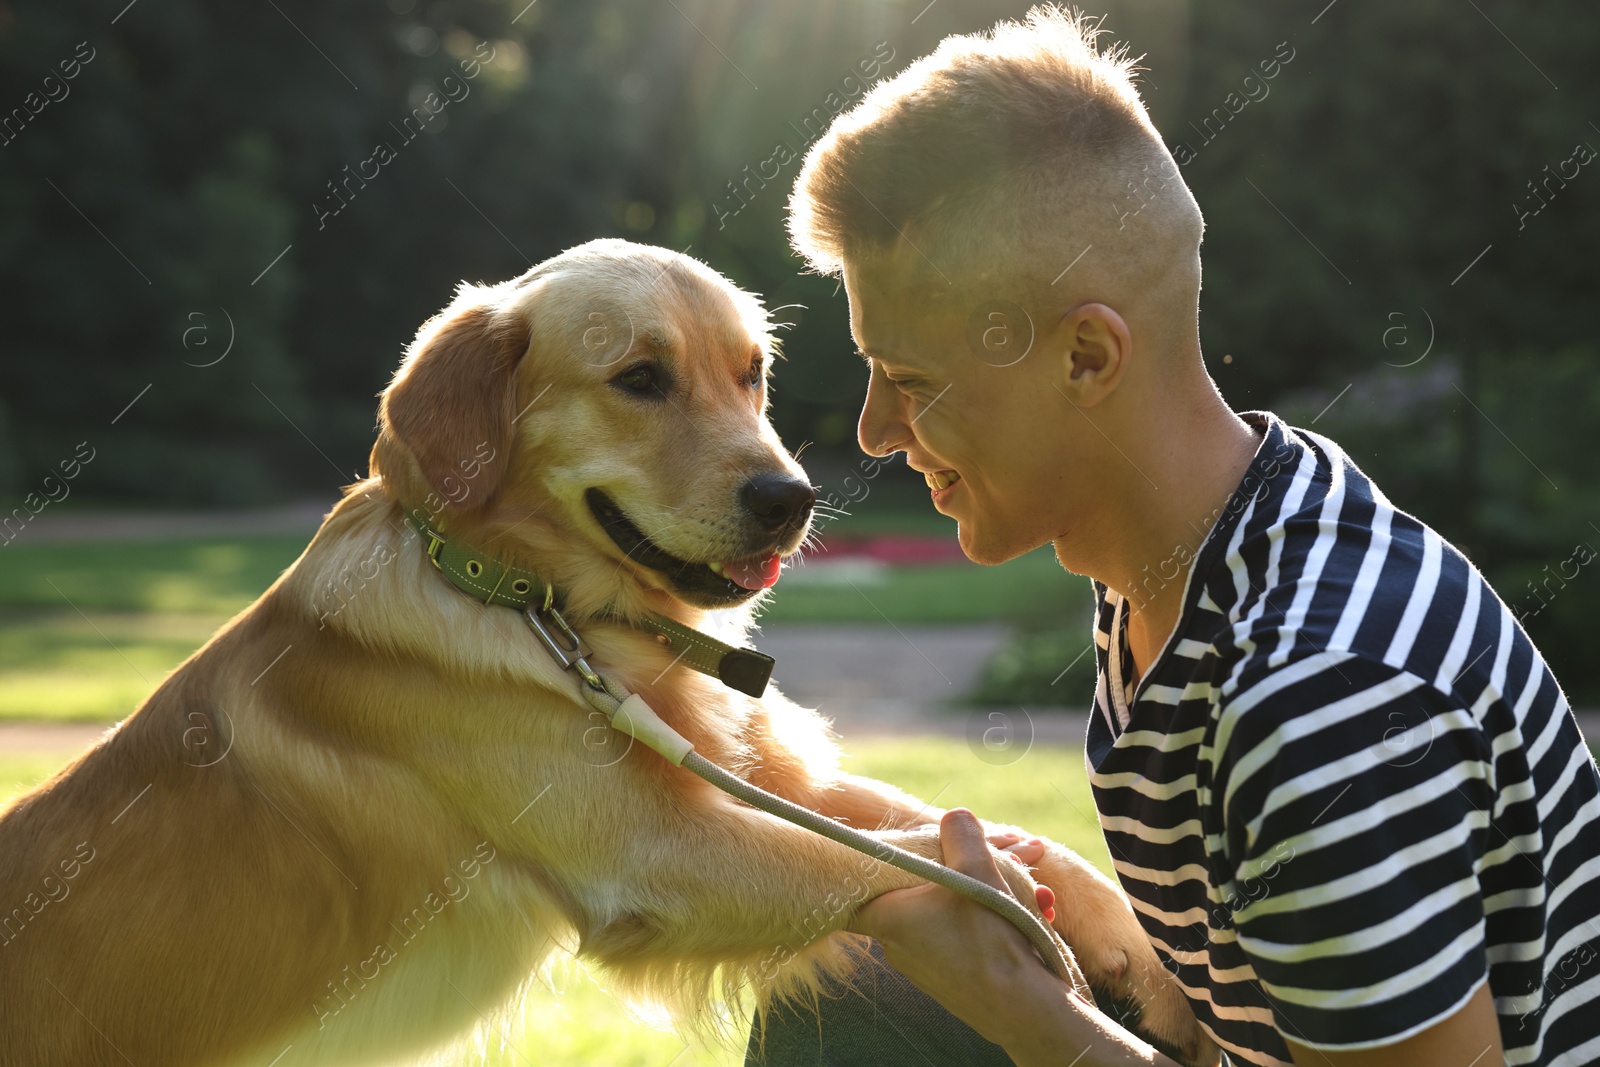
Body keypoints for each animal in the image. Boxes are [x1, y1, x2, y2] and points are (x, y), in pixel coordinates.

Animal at [0, 241, 1203, 1067]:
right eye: (638, 378)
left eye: (751, 372)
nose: (791, 497)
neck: (545, 607)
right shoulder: (655, 849)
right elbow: (891, 857)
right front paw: (1016, 914)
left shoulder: (760, 776)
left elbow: (1010, 837)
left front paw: (1144, 969)